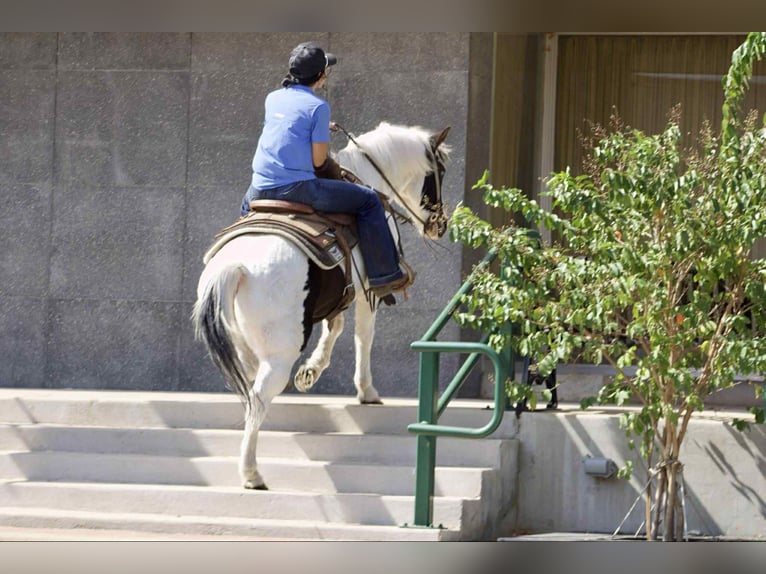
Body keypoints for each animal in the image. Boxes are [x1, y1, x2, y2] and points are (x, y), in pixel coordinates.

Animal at [192, 122, 451, 490]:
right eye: (439, 172)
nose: (439, 225)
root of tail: (237, 267)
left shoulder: (341, 293)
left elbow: (335, 326)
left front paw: (310, 371)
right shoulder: (368, 291)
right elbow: (362, 335)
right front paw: (366, 390)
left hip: (242, 342)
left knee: (251, 387)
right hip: (281, 351)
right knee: (257, 398)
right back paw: (251, 473)